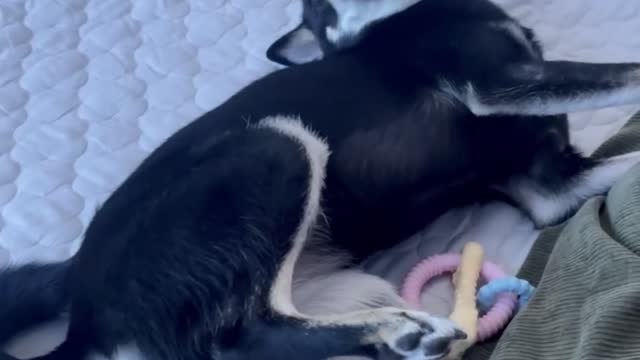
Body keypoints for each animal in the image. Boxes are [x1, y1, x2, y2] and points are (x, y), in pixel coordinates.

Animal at [1, 0, 640, 360]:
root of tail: (84, 307)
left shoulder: (548, 186)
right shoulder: (499, 83)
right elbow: (629, 72)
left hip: (354, 281)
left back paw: (391, 340)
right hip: (276, 144)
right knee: (245, 338)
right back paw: (402, 336)